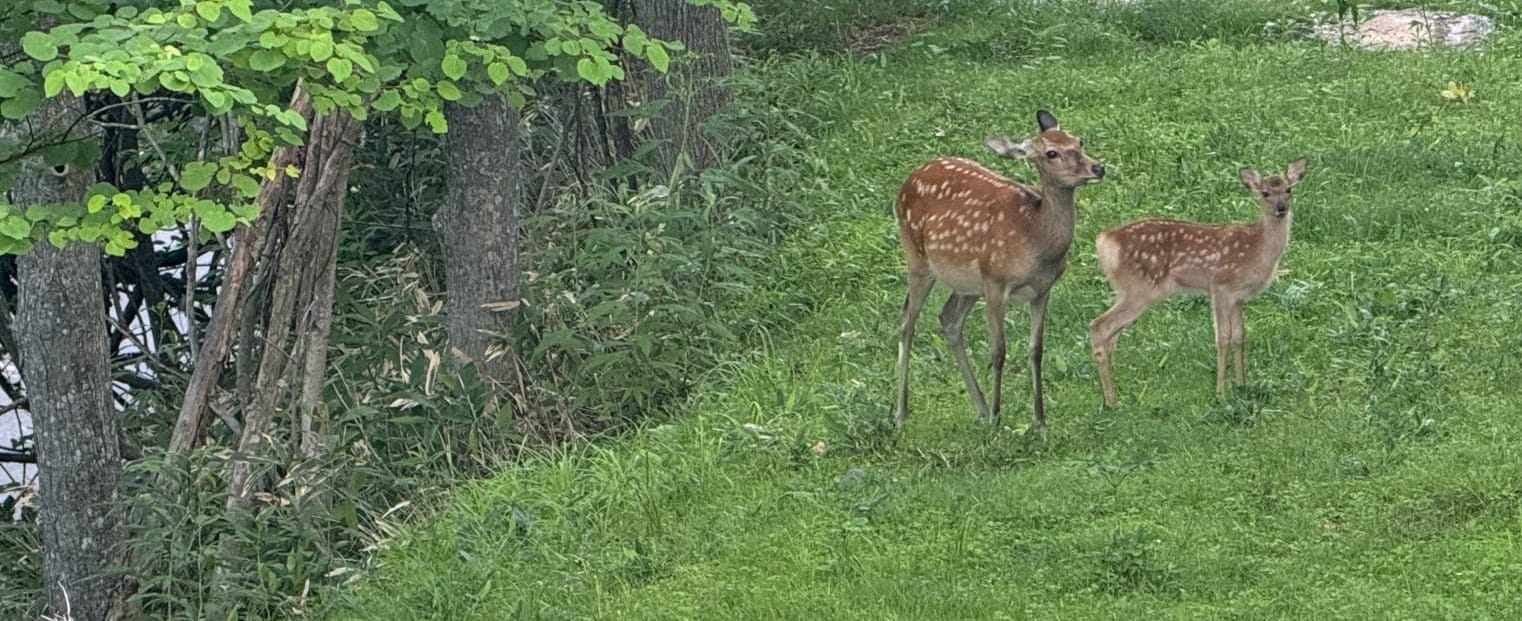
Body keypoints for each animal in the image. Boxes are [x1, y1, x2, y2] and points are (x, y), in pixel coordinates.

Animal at [894, 109, 1106, 432]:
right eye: (1051, 153)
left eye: (1078, 140)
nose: (1098, 168)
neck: (1036, 242)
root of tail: (906, 183)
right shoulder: (996, 283)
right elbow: (999, 351)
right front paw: (999, 414)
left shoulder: (1042, 290)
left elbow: (1036, 349)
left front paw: (1039, 420)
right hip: (918, 258)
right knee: (908, 320)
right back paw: (902, 412)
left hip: (968, 283)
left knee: (948, 319)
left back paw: (980, 409)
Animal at [1088, 158, 1308, 407]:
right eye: (1265, 192)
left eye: (1288, 189)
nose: (1281, 207)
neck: (1257, 248)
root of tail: (1105, 241)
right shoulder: (1220, 286)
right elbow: (1223, 338)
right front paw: (1220, 392)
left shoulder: (1237, 297)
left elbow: (1240, 336)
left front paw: (1241, 384)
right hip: (1140, 289)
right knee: (1099, 326)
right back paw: (1111, 402)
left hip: (1126, 290)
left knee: (1110, 335)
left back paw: (1111, 397)